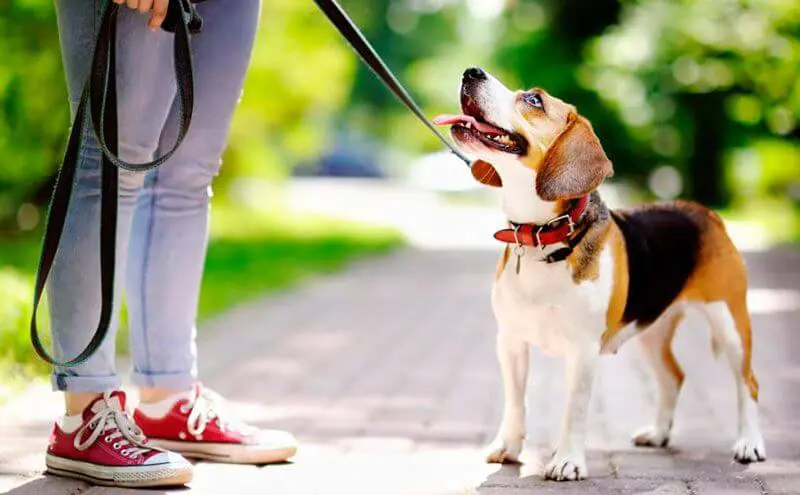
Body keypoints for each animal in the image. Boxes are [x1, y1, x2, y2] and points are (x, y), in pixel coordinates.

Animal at [434, 68, 764, 482]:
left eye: (534, 100)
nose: (471, 72)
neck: (542, 237)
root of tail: (705, 212)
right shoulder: (510, 341)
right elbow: (515, 401)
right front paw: (507, 447)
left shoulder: (583, 350)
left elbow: (573, 410)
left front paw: (567, 461)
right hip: (652, 330)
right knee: (673, 378)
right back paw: (658, 433)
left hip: (731, 323)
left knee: (748, 383)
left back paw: (749, 443)